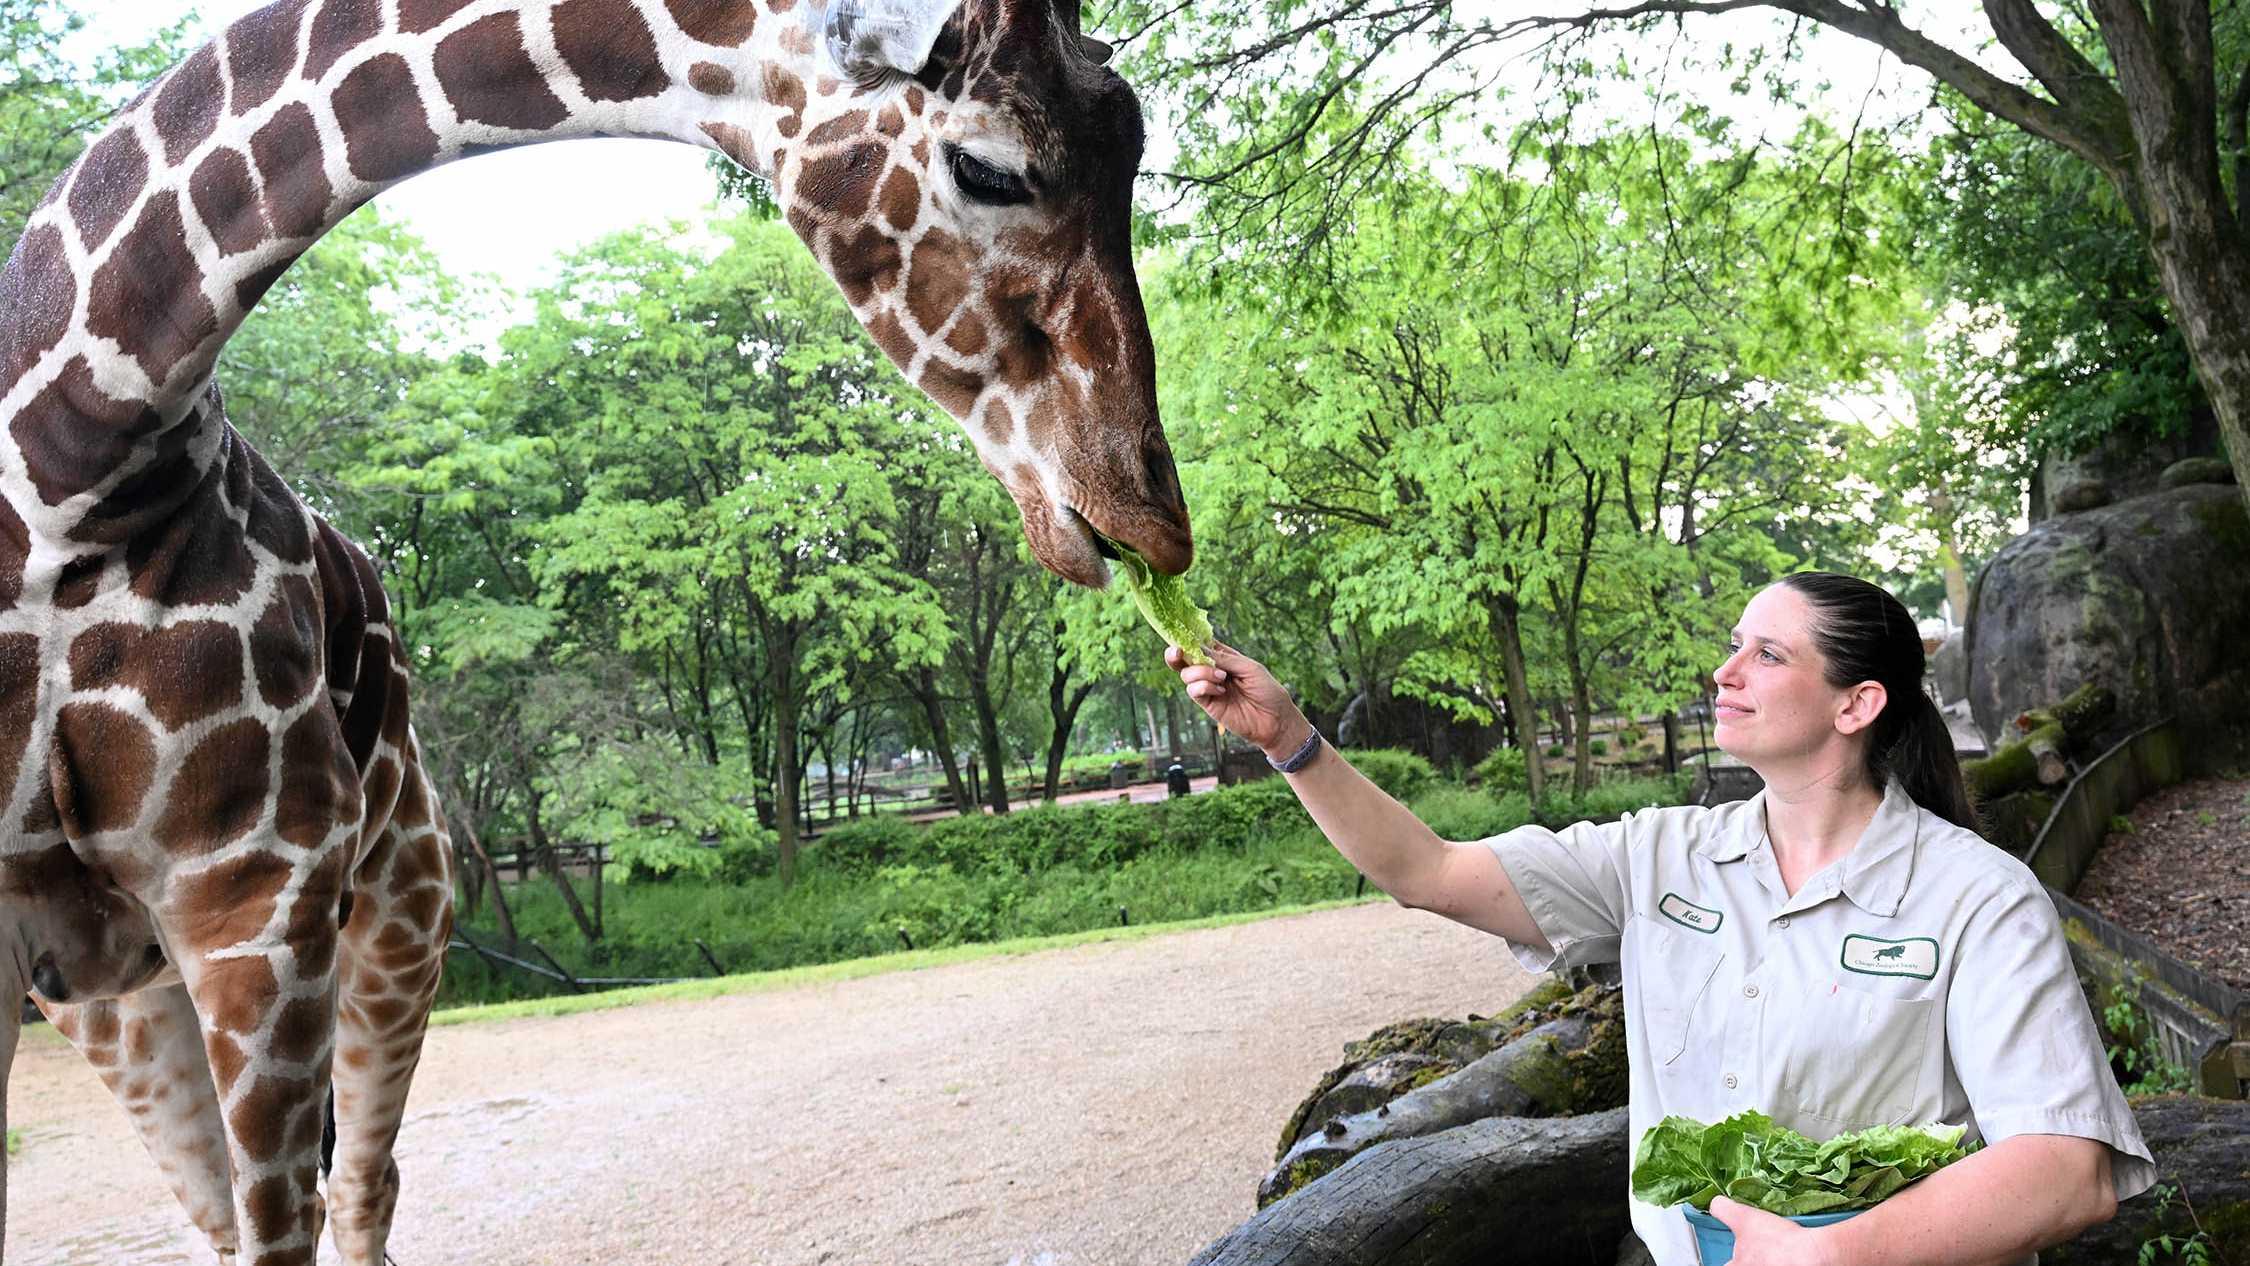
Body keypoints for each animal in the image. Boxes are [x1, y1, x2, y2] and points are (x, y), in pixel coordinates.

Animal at [0, 2, 1197, 1266]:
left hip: (394, 909)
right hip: (124, 988)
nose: (1147, 516)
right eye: (988, 168)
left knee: (362, 1189)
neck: (77, 453)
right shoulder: (173, 922)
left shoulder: (253, 893)